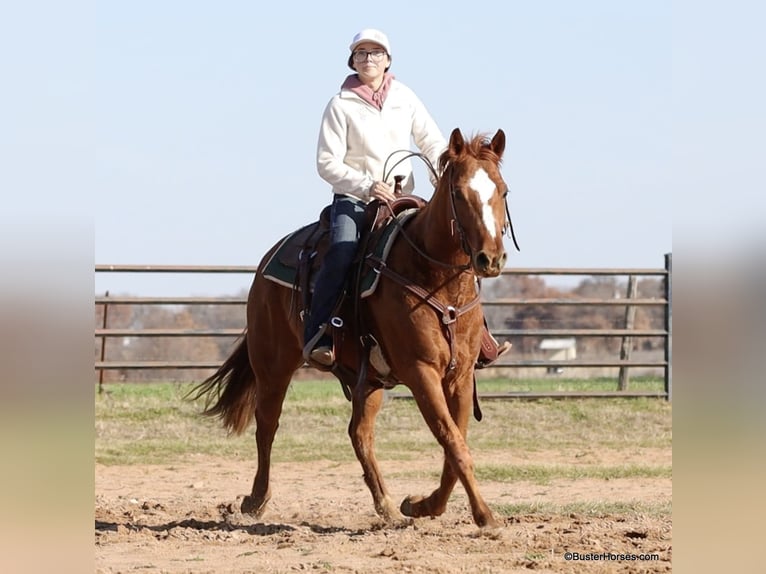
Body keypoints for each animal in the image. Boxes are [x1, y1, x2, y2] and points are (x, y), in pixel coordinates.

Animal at [190, 128, 511, 530]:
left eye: (503, 191)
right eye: (457, 192)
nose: (490, 259)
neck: (437, 281)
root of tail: (268, 260)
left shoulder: (461, 375)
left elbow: (455, 443)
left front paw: (421, 505)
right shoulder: (420, 371)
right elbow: (451, 440)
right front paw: (485, 515)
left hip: (369, 379)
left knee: (359, 433)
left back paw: (386, 504)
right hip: (273, 364)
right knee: (267, 424)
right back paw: (256, 499)